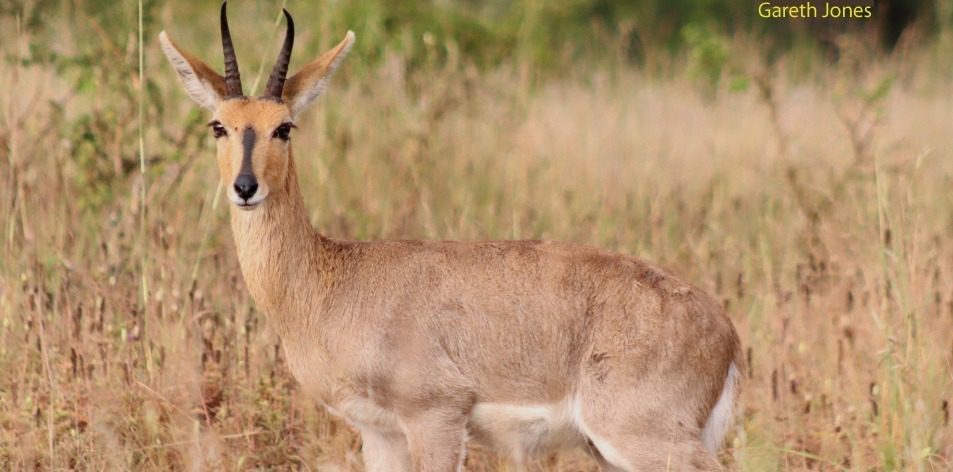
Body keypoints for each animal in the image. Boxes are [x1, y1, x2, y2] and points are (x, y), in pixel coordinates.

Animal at [160, 2, 744, 468]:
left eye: (284, 126)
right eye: (218, 125)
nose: (245, 187)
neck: (332, 282)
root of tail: (726, 332)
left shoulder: (434, 418)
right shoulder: (380, 433)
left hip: (643, 439)